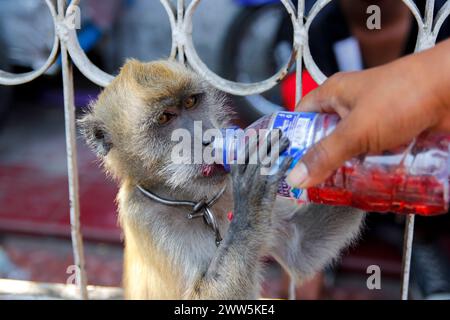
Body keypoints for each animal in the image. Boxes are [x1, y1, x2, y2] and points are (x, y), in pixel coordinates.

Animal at [78, 59, 366, 300]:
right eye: (164, 117)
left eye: (191, 103)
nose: (206, 137)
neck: (195, 203)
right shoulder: (146, 220)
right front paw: (250, 202)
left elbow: (302, 246)